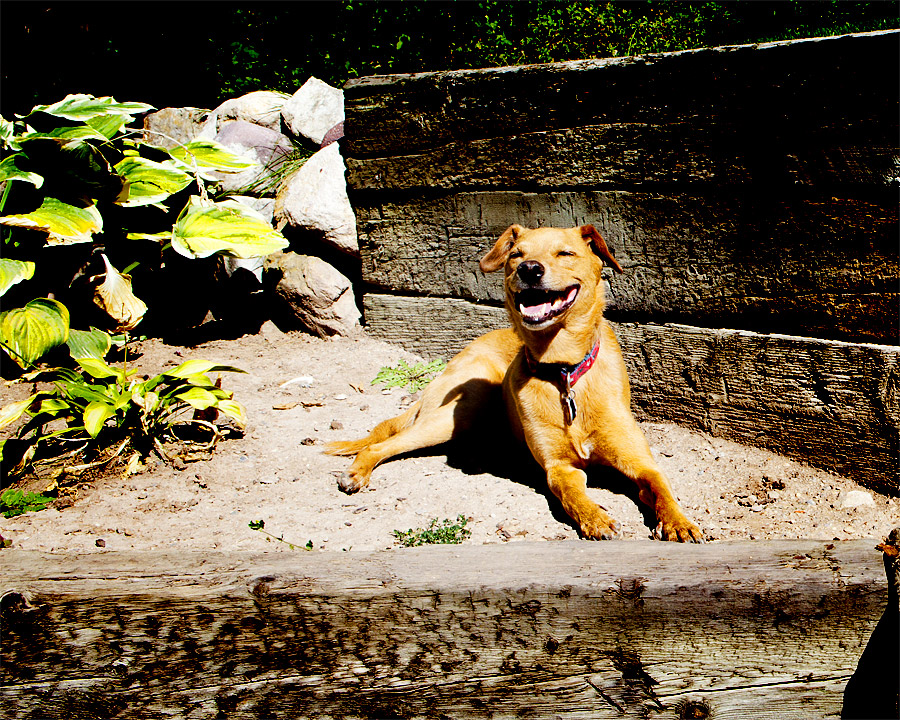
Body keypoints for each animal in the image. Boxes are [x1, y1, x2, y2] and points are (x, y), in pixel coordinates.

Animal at [326, 224, 703, 542]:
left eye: (565, 253)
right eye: (517, 254)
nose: (530, 269)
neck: (563, 370)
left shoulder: (641, 462)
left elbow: (661, 488)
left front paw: (680, 523)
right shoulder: (559, 468)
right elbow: (573, 496)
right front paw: (595, 518)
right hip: (459, 411)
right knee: (380, 444)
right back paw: (356, 473)